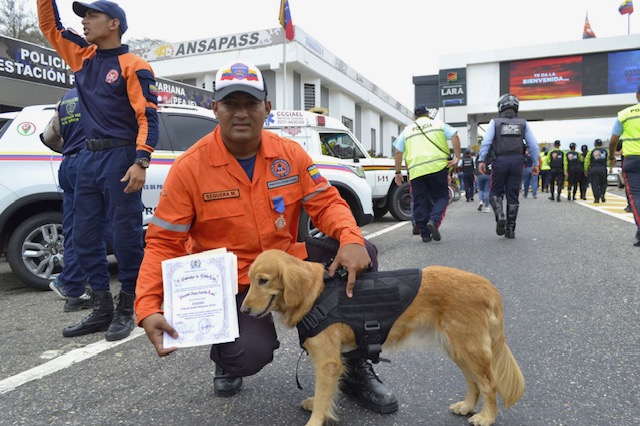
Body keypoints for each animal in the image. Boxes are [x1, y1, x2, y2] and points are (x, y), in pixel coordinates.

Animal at [240, 250, 524, 426]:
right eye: (250, 281)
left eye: (263, 281)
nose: (242, 310)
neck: (315, 293)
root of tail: (487, 286)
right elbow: (326, 394)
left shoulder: (328, 362)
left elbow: (323, 396)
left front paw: (315, 419)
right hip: (459, 349)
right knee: (474, 382)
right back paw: (467, 406)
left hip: (469, 348)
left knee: (489, 384)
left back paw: (486, 417)